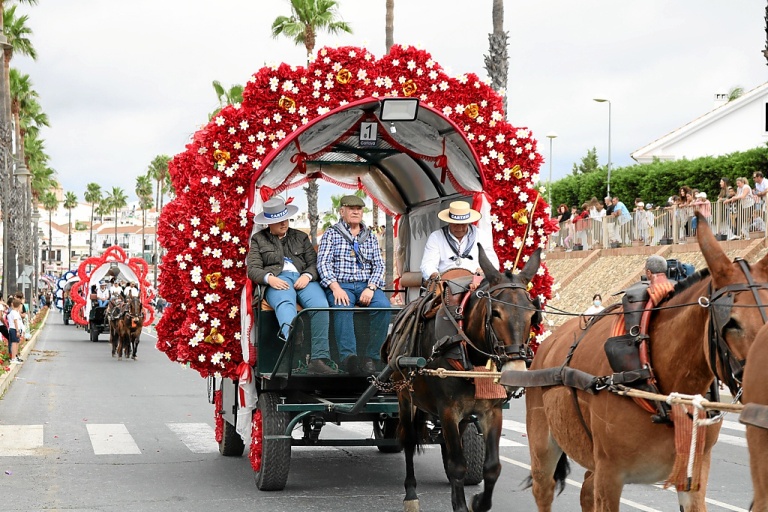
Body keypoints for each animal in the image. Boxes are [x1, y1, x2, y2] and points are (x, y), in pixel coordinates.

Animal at [388, 246, 544, 510]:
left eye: (533, 315)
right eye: (495, 313)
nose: (515, 369)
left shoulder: (491, 411)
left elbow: (491, 467)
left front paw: (479, 501)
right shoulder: (448, 410)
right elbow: (457, 465)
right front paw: (460, 504)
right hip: (404, 395)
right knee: (408, 440)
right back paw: (411, 494)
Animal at [524, 211, 764, 508]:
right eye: (731, 324)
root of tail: (547, 345)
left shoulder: (694, 475)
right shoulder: (610, 476)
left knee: (586, 491)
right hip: (542, 444)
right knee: (543, 488)